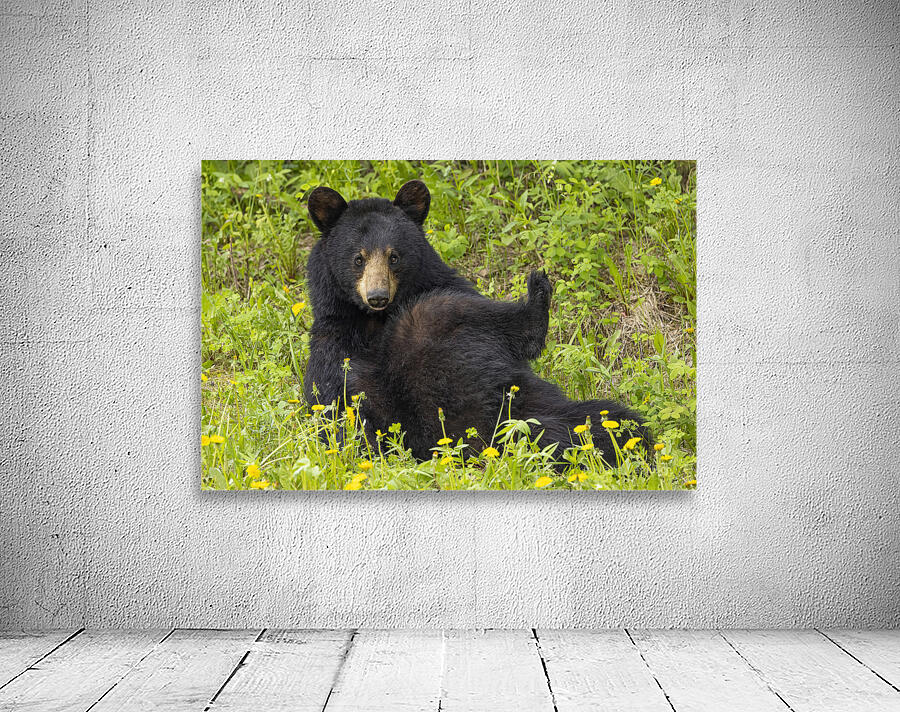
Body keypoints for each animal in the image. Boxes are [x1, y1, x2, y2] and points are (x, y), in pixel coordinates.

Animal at [304, 179, 652, 466]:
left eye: (394, 256)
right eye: (358, 259)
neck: (377, 321)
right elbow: (333, 412)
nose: (377, 296)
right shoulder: (332, 350)